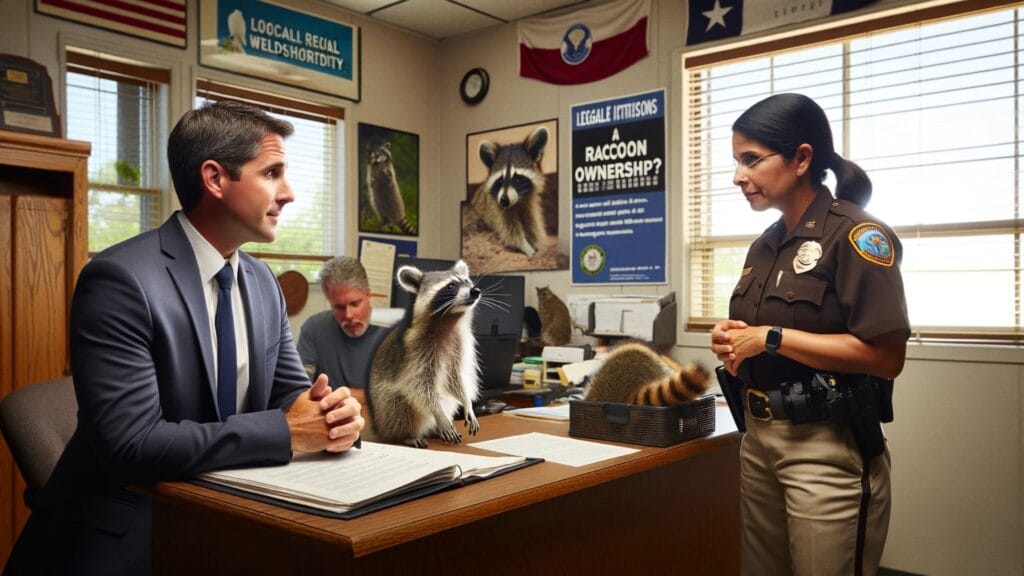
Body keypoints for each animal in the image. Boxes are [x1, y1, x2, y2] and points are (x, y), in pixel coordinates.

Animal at [367, 260, 481, 447]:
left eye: (467, 282)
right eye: (451, 285)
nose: (475, 291)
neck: (450, 318)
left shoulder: (460, 344)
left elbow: (456, 377)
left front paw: (467, 403)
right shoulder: (417, 349)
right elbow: (420, 386)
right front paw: (440, 415)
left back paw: (434, 430)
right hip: (385, 406)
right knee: (398, 405)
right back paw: (407, 435)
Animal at [471, 126, 549, 257]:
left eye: (517, 179)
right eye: (500, 180)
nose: (504, 200)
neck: (518, 202)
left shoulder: (528, 204)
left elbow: (533, 226)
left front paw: (538, 246)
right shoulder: (496, 208)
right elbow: (511, 234)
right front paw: (528, 249)